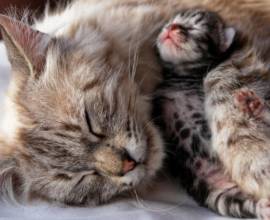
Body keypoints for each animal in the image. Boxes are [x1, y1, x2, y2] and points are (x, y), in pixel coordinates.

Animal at [153, 8, 270, 218]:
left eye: (193, 27)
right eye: (172, 22)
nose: (171, 27)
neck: (182, 75)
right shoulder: (159, 100)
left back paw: (254, 105)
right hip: (219, 194)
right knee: (245, 205)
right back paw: (265, 209)